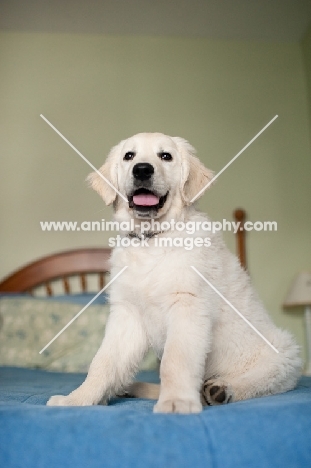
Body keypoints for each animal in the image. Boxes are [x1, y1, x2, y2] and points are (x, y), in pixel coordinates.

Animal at [47, 133, 304, 414]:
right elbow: (103, 362)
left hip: (285, 355)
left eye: (166, 156)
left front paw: (176, 402)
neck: (152, 240)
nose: (142, 169)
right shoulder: (128, 314)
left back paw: (220, 389)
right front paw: (78, 399)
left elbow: (175, 361)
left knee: (259, 381)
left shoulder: (187, 306)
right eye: (129, 156)